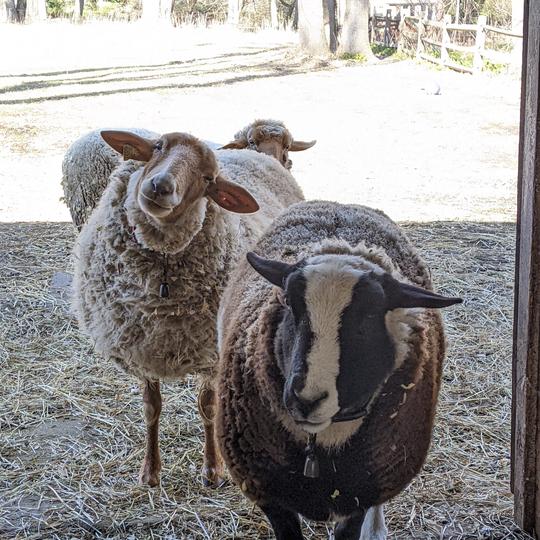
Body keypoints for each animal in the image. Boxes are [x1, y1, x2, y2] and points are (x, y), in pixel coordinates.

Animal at [74, 129, 304, 488]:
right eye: (157, 147)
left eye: (209, 180)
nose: (160, 186)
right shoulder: (142, 349)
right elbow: (151, 408)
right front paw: (150, 472)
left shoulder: (211, 353)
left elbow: (207, 407)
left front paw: (212, 468)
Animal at [215, 200, 460, 536]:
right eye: (289, 302)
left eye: (369, 317)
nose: (305, 399)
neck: (322, 440)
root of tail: (341, 205)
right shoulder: (269, 494)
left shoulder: (358, 496)